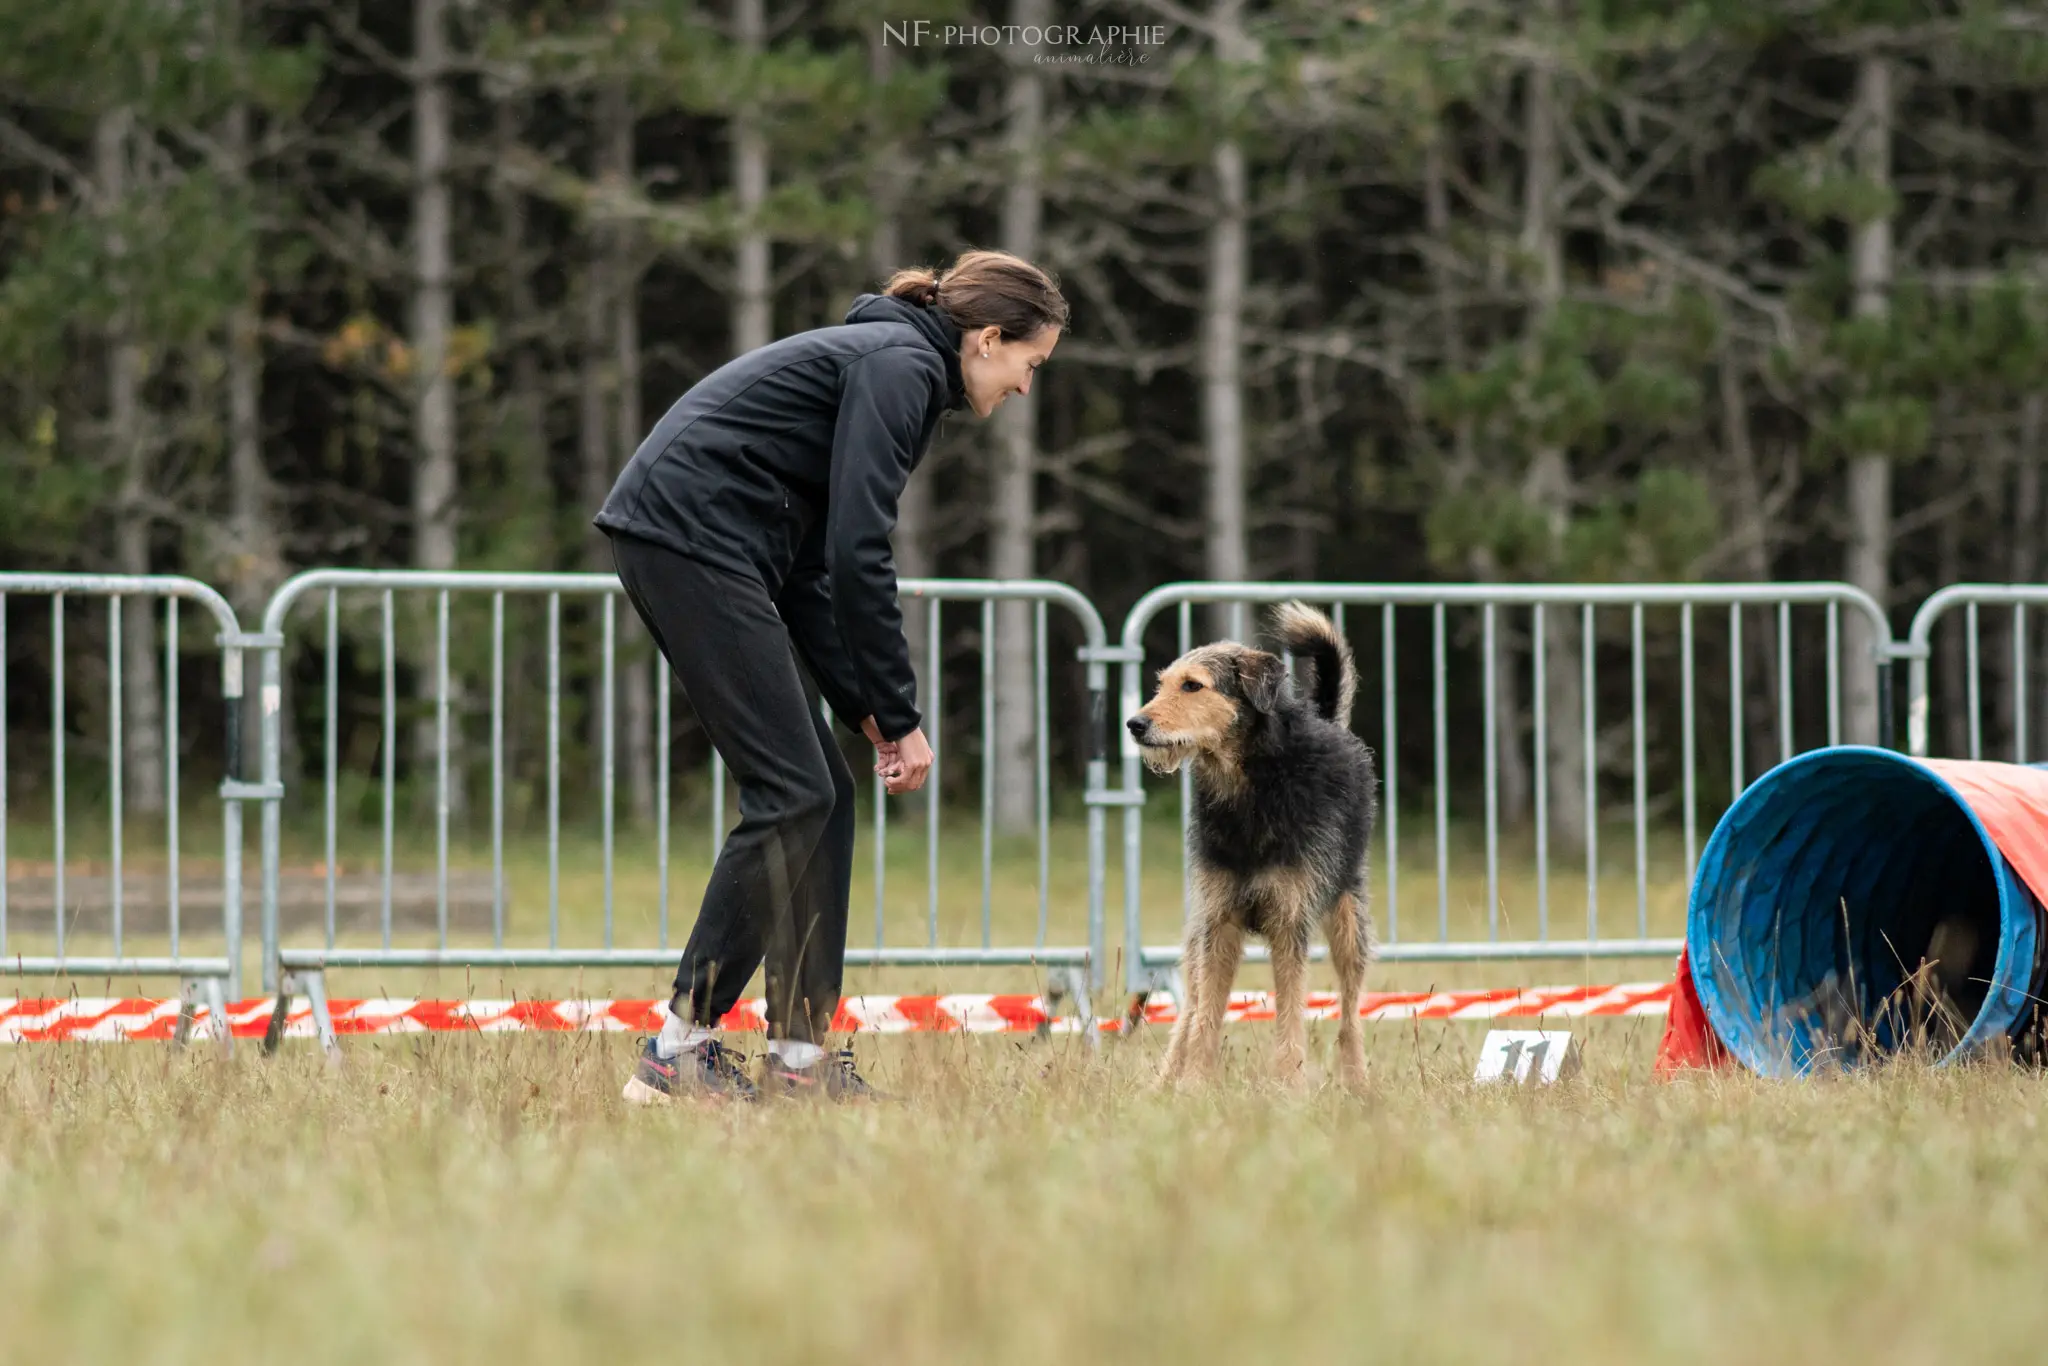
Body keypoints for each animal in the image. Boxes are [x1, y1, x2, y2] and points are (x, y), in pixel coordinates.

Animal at [1130, 602, 1384, 1097]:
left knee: (1350, 1012)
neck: (1250, 789)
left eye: (1193, 685)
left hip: (1348, 919)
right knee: (1188, 1009)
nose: (1135, 724)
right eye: (1162, 684)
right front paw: (1194, 1086)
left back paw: (1358, 1083)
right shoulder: (1218, 922)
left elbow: (1290, 1012)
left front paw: (1289, 1086)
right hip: (1197, 932)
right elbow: (1204, 1017)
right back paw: (1163, 1082)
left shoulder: (1289, 920)